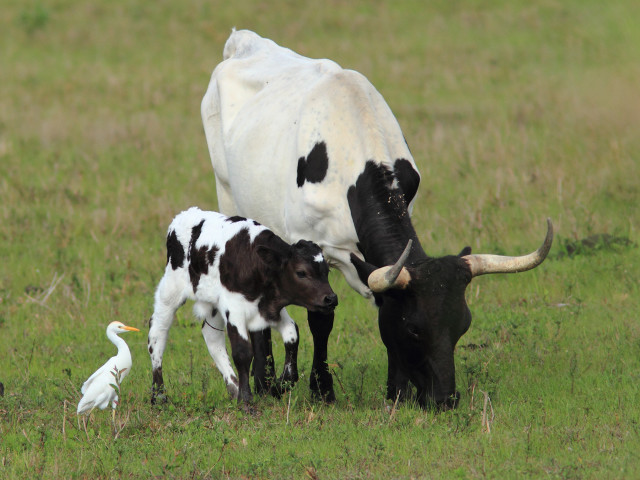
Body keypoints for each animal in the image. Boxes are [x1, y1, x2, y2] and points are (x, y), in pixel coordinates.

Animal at [147, 207, 338, 409]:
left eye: (327, 271)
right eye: (301, 272)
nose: (331, 299)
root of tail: (184, 215)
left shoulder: (270, 309)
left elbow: (292, 336)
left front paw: (278, 386)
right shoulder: (234, 308)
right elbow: (242, 352)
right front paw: (246, 400)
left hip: (213, 303)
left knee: (211, 335)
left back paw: (233, 388)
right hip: (170, 288)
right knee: (158, 331)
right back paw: (158, 396)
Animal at [200, 30, 553, 409]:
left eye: (463, 325)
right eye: (415, 328)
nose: (445, 399)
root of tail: (243, 40)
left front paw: (396, 389)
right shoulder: (309, 250)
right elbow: (321, 317)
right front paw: (322, 390)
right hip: (228, 195)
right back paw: (265, 382)